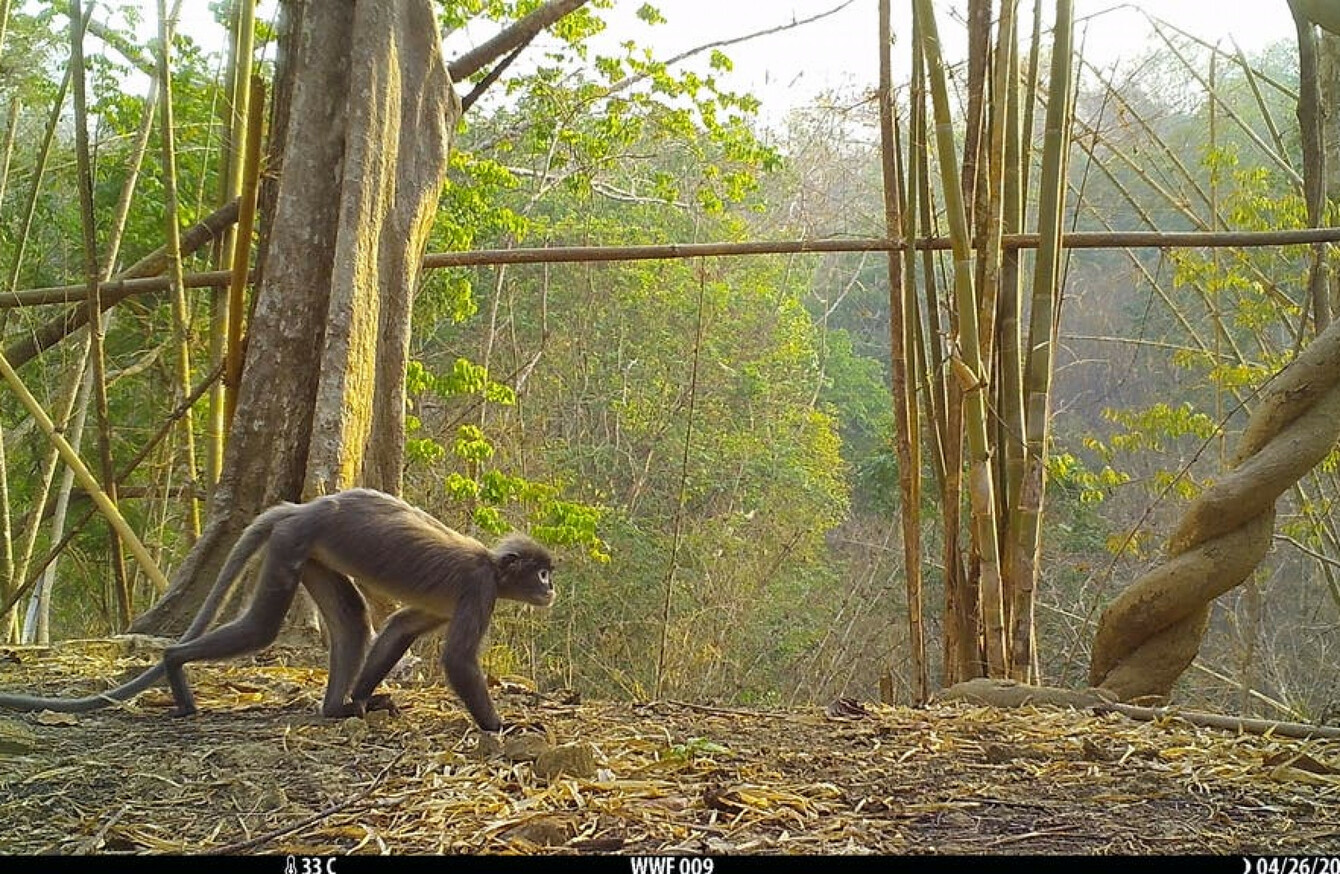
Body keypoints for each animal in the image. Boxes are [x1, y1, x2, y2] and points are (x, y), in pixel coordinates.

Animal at [0, 488, 555, 732]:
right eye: (542, 573)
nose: (552, 589)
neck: (492, 566)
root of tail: (304, 506)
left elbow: (399, 628)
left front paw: (363, 697)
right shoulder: (479, 589)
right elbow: (457, 660)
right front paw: (503, 727)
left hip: (307, 551)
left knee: (352, 618)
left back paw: (338, 708)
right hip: (294, 541)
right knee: (263, 627)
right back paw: (174, 663)